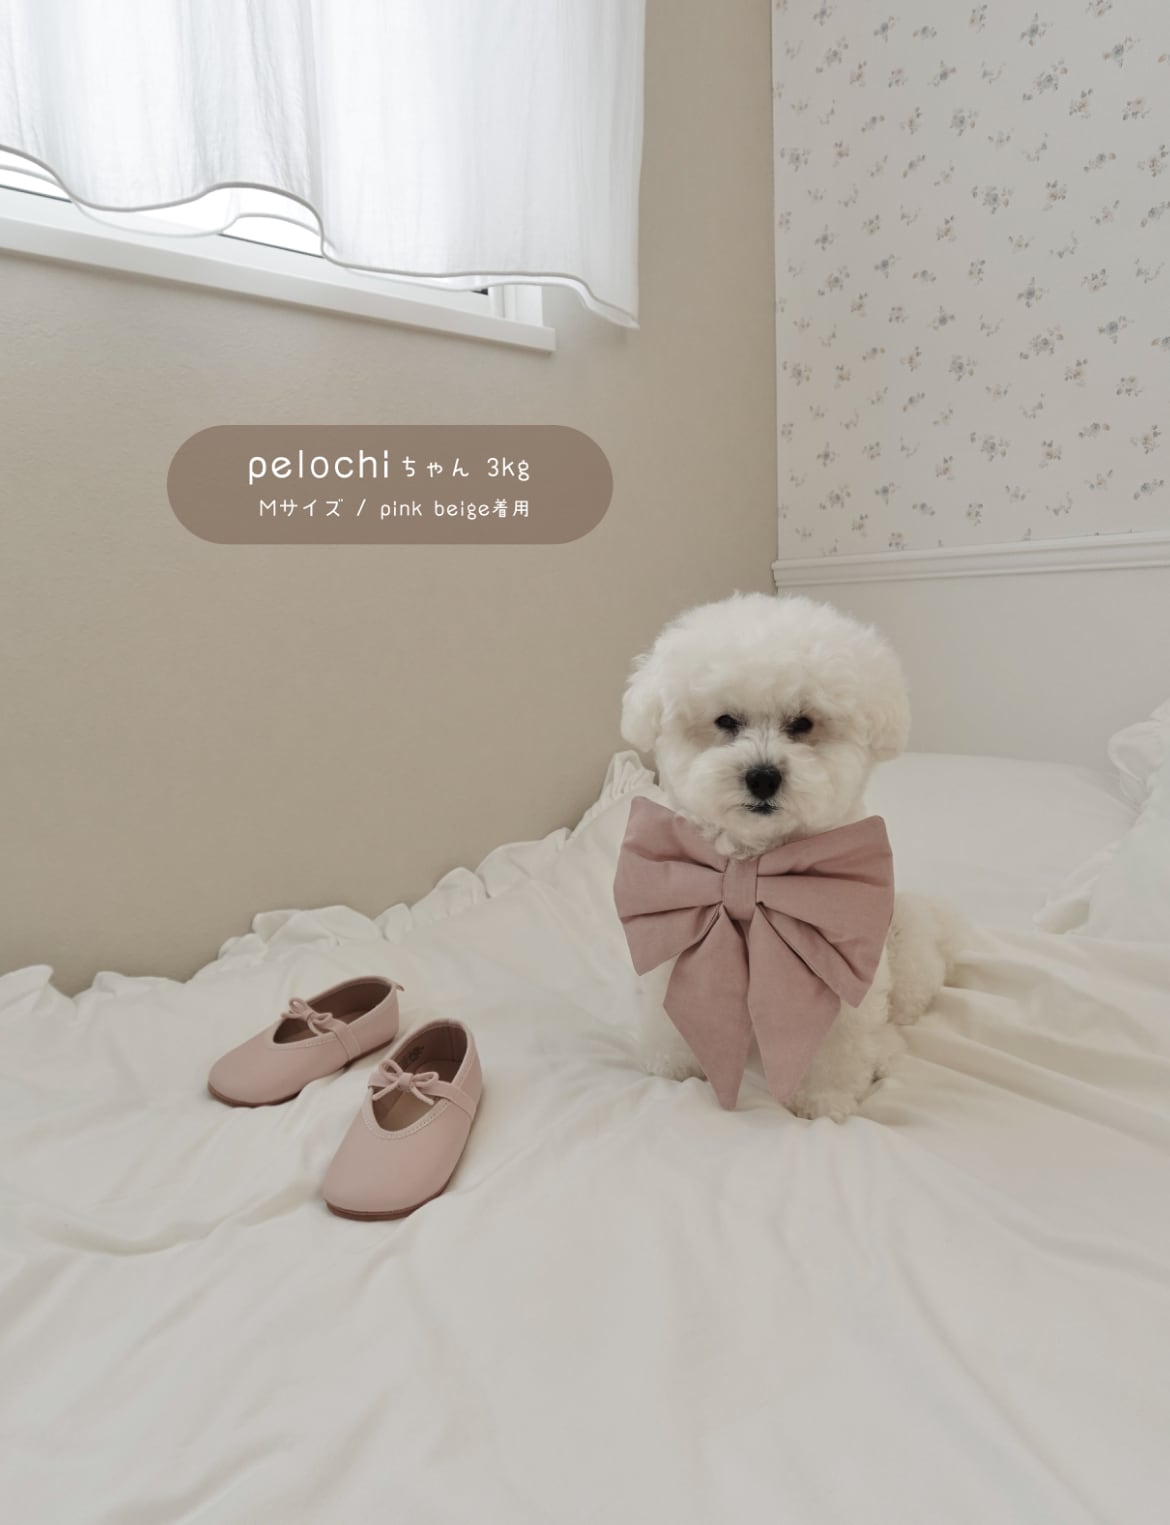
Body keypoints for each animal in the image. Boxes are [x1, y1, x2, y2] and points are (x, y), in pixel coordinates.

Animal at [618, 591, 958, 1120]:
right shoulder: (675, 941)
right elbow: (672, 1016)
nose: (762, 777)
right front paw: (675, 1067)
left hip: (901, 949)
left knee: (898, 1013)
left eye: (803, 723)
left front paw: (824, 1100)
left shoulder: (840, 969)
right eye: (726, 721)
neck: (753, 866)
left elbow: (837, 1044)